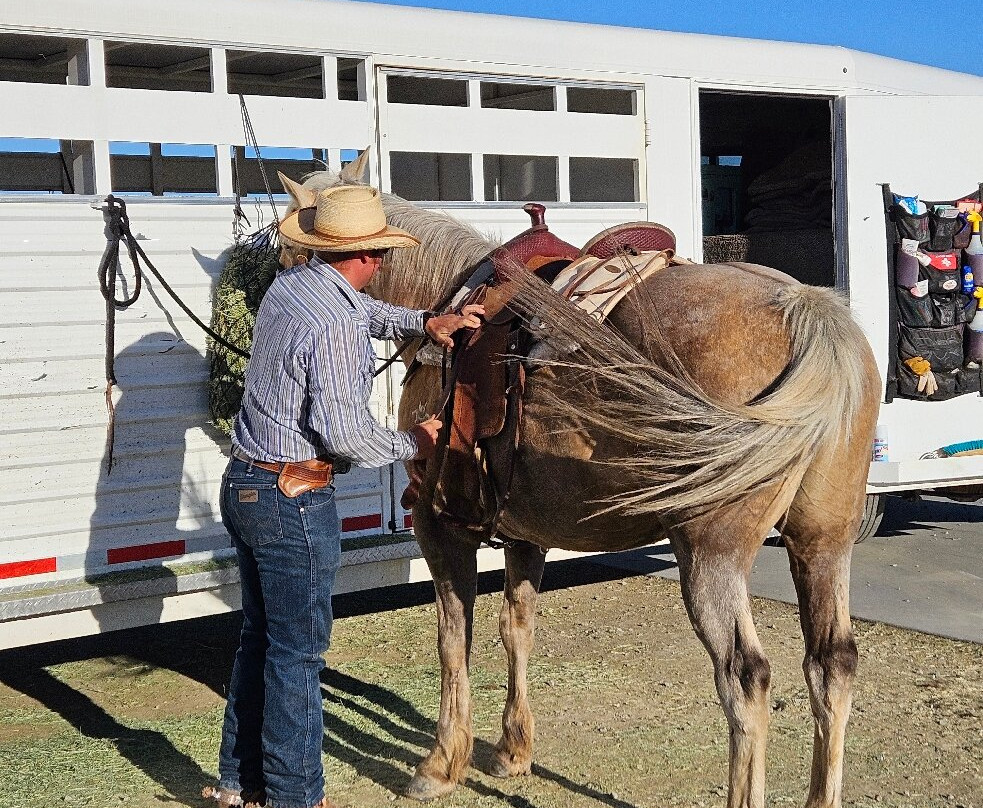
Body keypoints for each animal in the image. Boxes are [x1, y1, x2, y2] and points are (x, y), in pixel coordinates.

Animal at [282, 153, 881, 808]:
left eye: (284, 242)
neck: (446, 306)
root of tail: (807, 311)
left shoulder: (442, 525)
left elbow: (453, 637)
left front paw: (440, 764)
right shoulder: (525, 531)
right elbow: (515, 627)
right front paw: (512, 750)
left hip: (711, 553)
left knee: (745, 676)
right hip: (823, 541)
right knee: (832, 664)